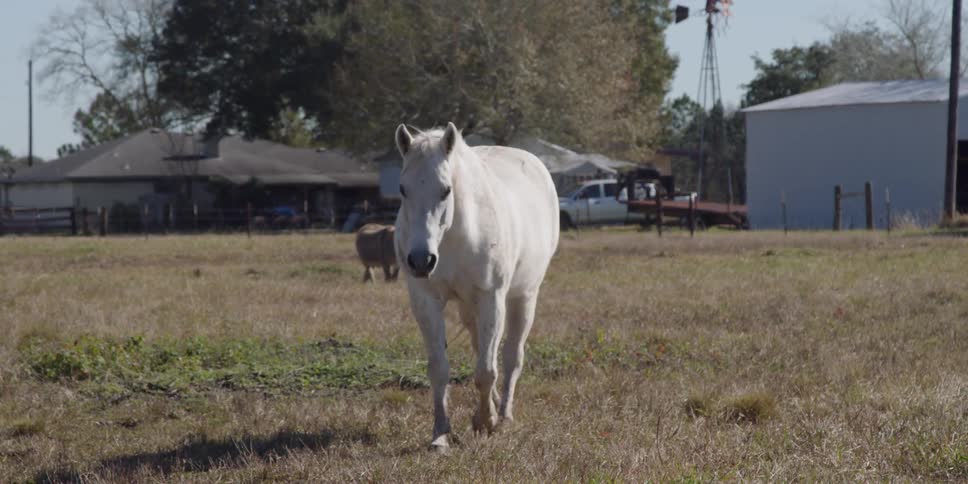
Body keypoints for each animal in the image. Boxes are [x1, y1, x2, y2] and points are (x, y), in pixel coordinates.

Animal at [393, 122, 560, 450]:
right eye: (403, 189)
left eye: (446, 190)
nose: (421, 260)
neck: (455, 235)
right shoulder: (426, 300)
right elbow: (440, 368)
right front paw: (441, 434)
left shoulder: (490, 298)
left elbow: (486, 370)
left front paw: (485, 421)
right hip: (469, 307)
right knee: (483, 348)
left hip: (523, 298)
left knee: (510, 356)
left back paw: (504, 414)